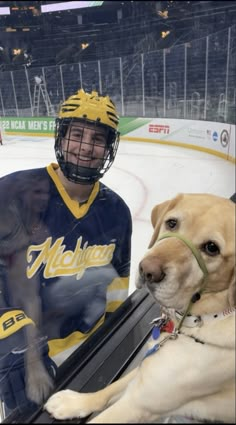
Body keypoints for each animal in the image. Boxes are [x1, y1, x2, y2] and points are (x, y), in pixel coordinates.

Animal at [43, 194, 234, 422]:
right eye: (172, 223)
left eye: (212, 248)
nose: (147, 270)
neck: (201, 320)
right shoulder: (147, 369)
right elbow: (108, 391)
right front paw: (75, 402)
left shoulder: (140, 403)